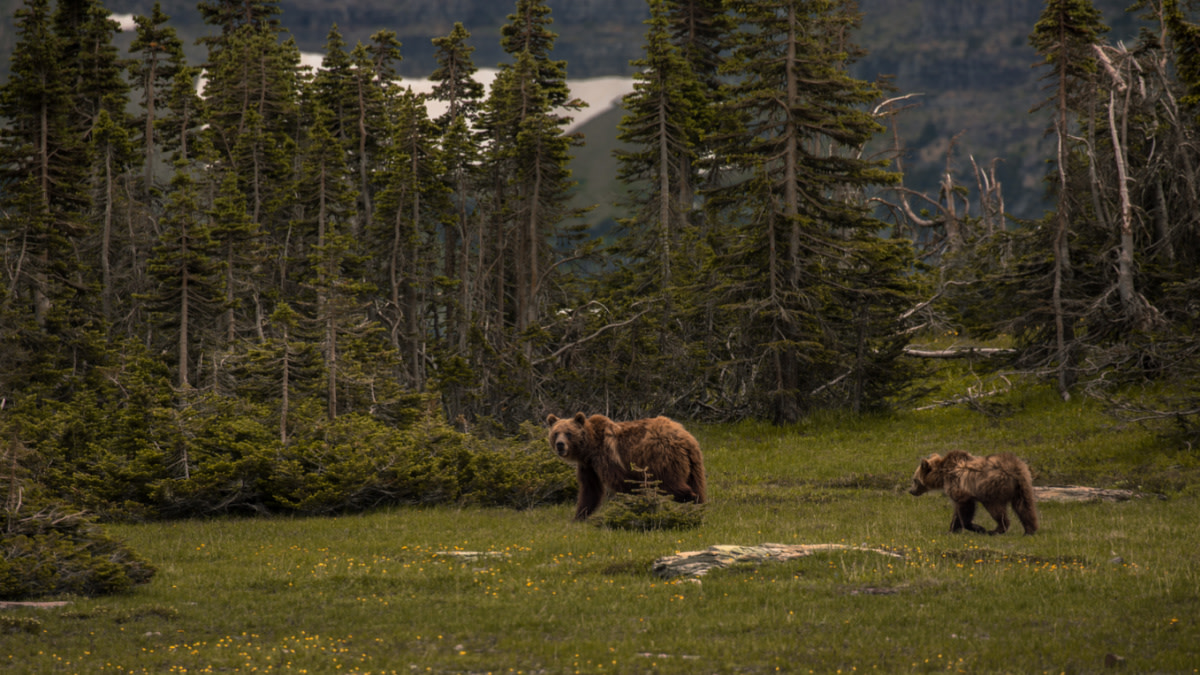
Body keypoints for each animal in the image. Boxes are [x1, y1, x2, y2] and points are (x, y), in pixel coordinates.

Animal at [549, 413, 705, 516]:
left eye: (568, 433)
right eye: (556, 433)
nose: (560, 445)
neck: (589, 449)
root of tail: (685, 438)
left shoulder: (608, 458)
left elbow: (623, 483)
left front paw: (630, 506)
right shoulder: (588, 467)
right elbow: (590, 490)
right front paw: (579, 516)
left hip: (662, 460)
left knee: (672, 485)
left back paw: (691, 501)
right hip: (695, 465)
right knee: (697, 484)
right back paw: (701, 505)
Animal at [902, 449, 1036, 533]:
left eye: (914, 480)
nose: (911, 491)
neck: (942, 476)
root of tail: (1013, 469)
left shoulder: (958, 486)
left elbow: (964, 508)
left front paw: (977, 528)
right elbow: (957, 512)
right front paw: (951, 530)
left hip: (991, 488)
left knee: (996, 509)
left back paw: (995, 530)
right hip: (1023, 485)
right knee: (1024, 506)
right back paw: (1030, 530)